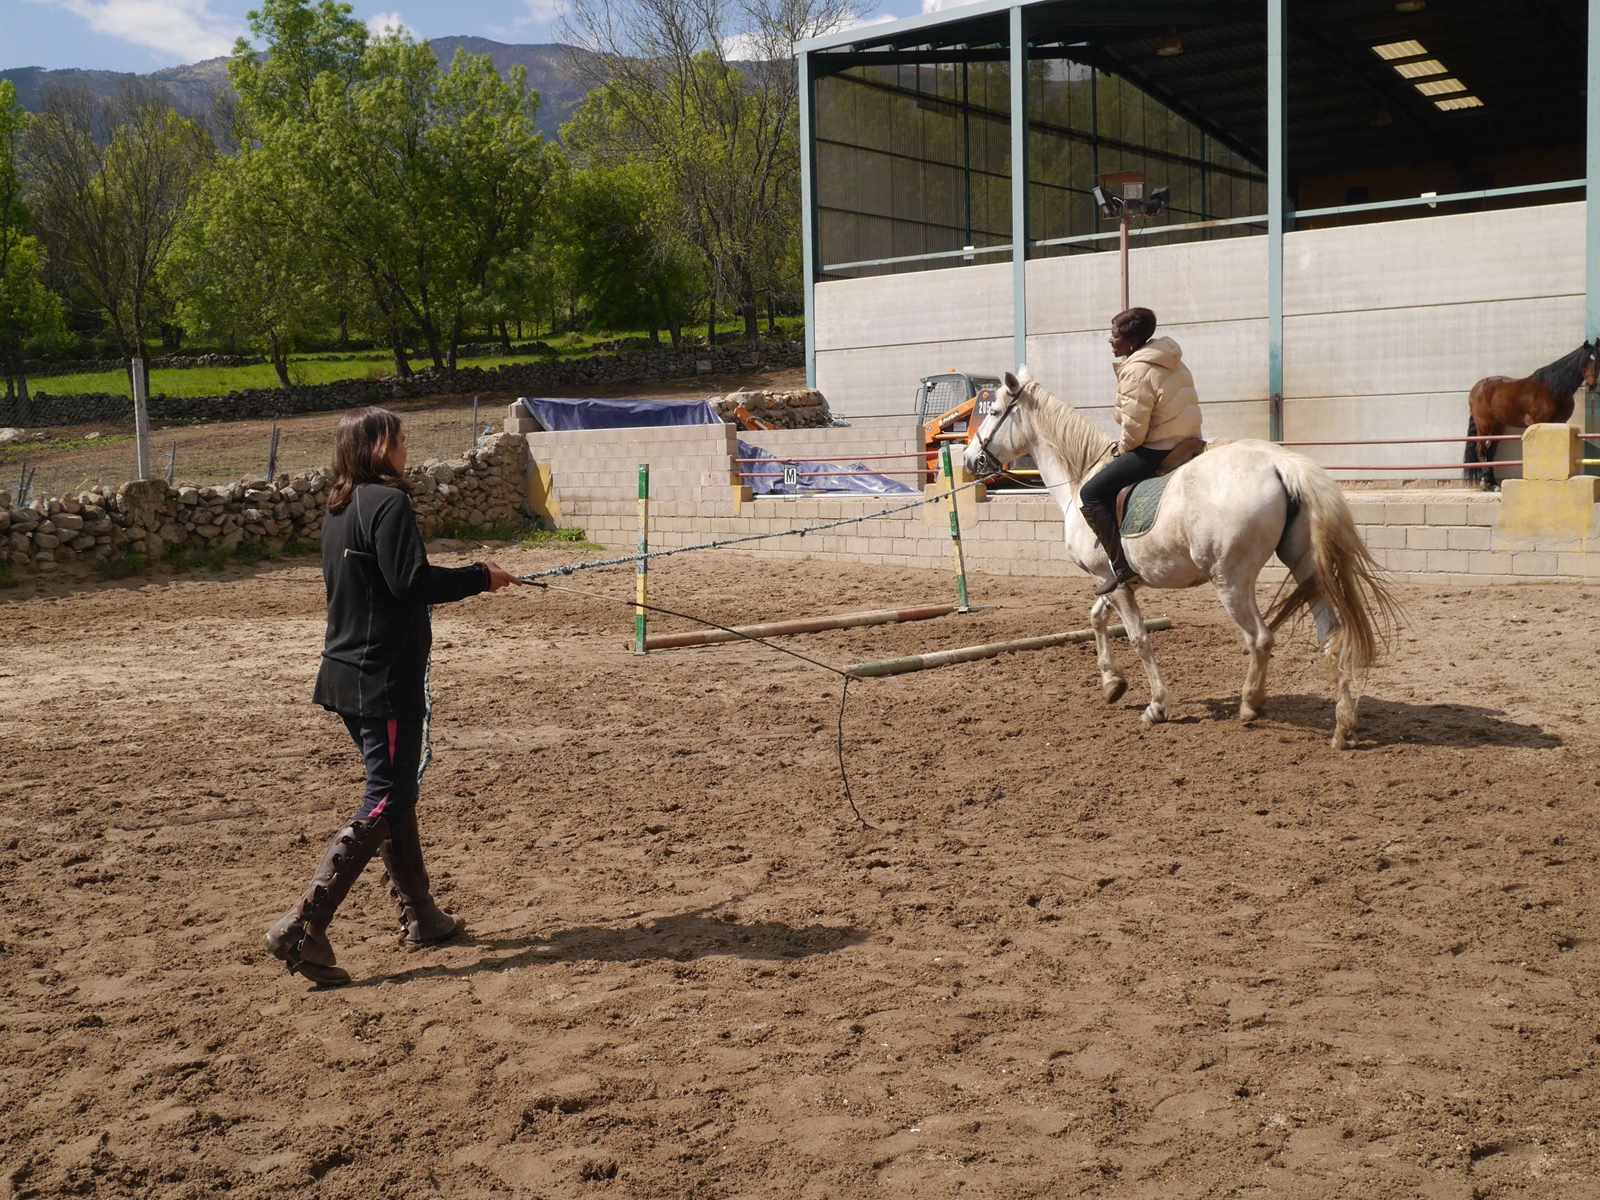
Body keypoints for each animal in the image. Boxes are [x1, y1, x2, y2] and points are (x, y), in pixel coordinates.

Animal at [960, 369, 1401, 752]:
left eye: (994, 411)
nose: (968, 459)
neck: (1080, 475)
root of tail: (1281, 464)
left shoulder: (1113, 579)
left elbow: (1138, 637)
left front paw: (1156, 706)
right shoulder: (1113, 580)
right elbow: (1096, 618)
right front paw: (1112, 683)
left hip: (1232, 581)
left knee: (1260, 638)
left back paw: (1251, 704)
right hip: (1306, 569)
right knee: (1331, 637)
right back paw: (1343, 728)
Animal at [1465, 339, 1593, 489]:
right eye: (1586, 361)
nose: (1592, 385)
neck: (1553, 388)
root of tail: (1476, 388)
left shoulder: (1559, 423)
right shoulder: (1538, 422)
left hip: (1498, 427)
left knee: (1490, 452)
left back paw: (1494, 483)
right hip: (1484, 425)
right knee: (1481, 450)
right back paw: (1486, 483)